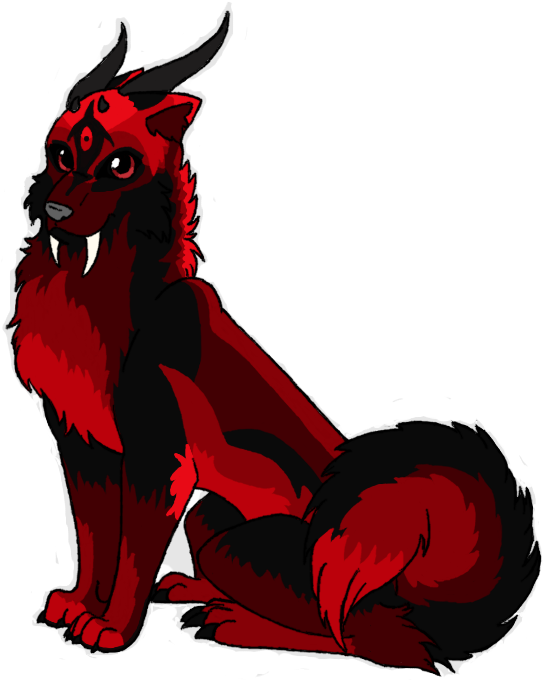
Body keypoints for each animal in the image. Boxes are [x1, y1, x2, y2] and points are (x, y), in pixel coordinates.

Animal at [6, 13, 540, 672]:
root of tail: (411, 596)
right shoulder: (85, 452)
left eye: (119, 165)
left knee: (364, 638)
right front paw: (79, 605)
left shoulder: (159, 461)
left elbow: (130, 556)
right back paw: (193, 592)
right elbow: (92, 540)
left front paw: (110, 629)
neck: (97, 297)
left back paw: (229, 620)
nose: (56, 210)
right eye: (62, 155)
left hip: (232, 536)